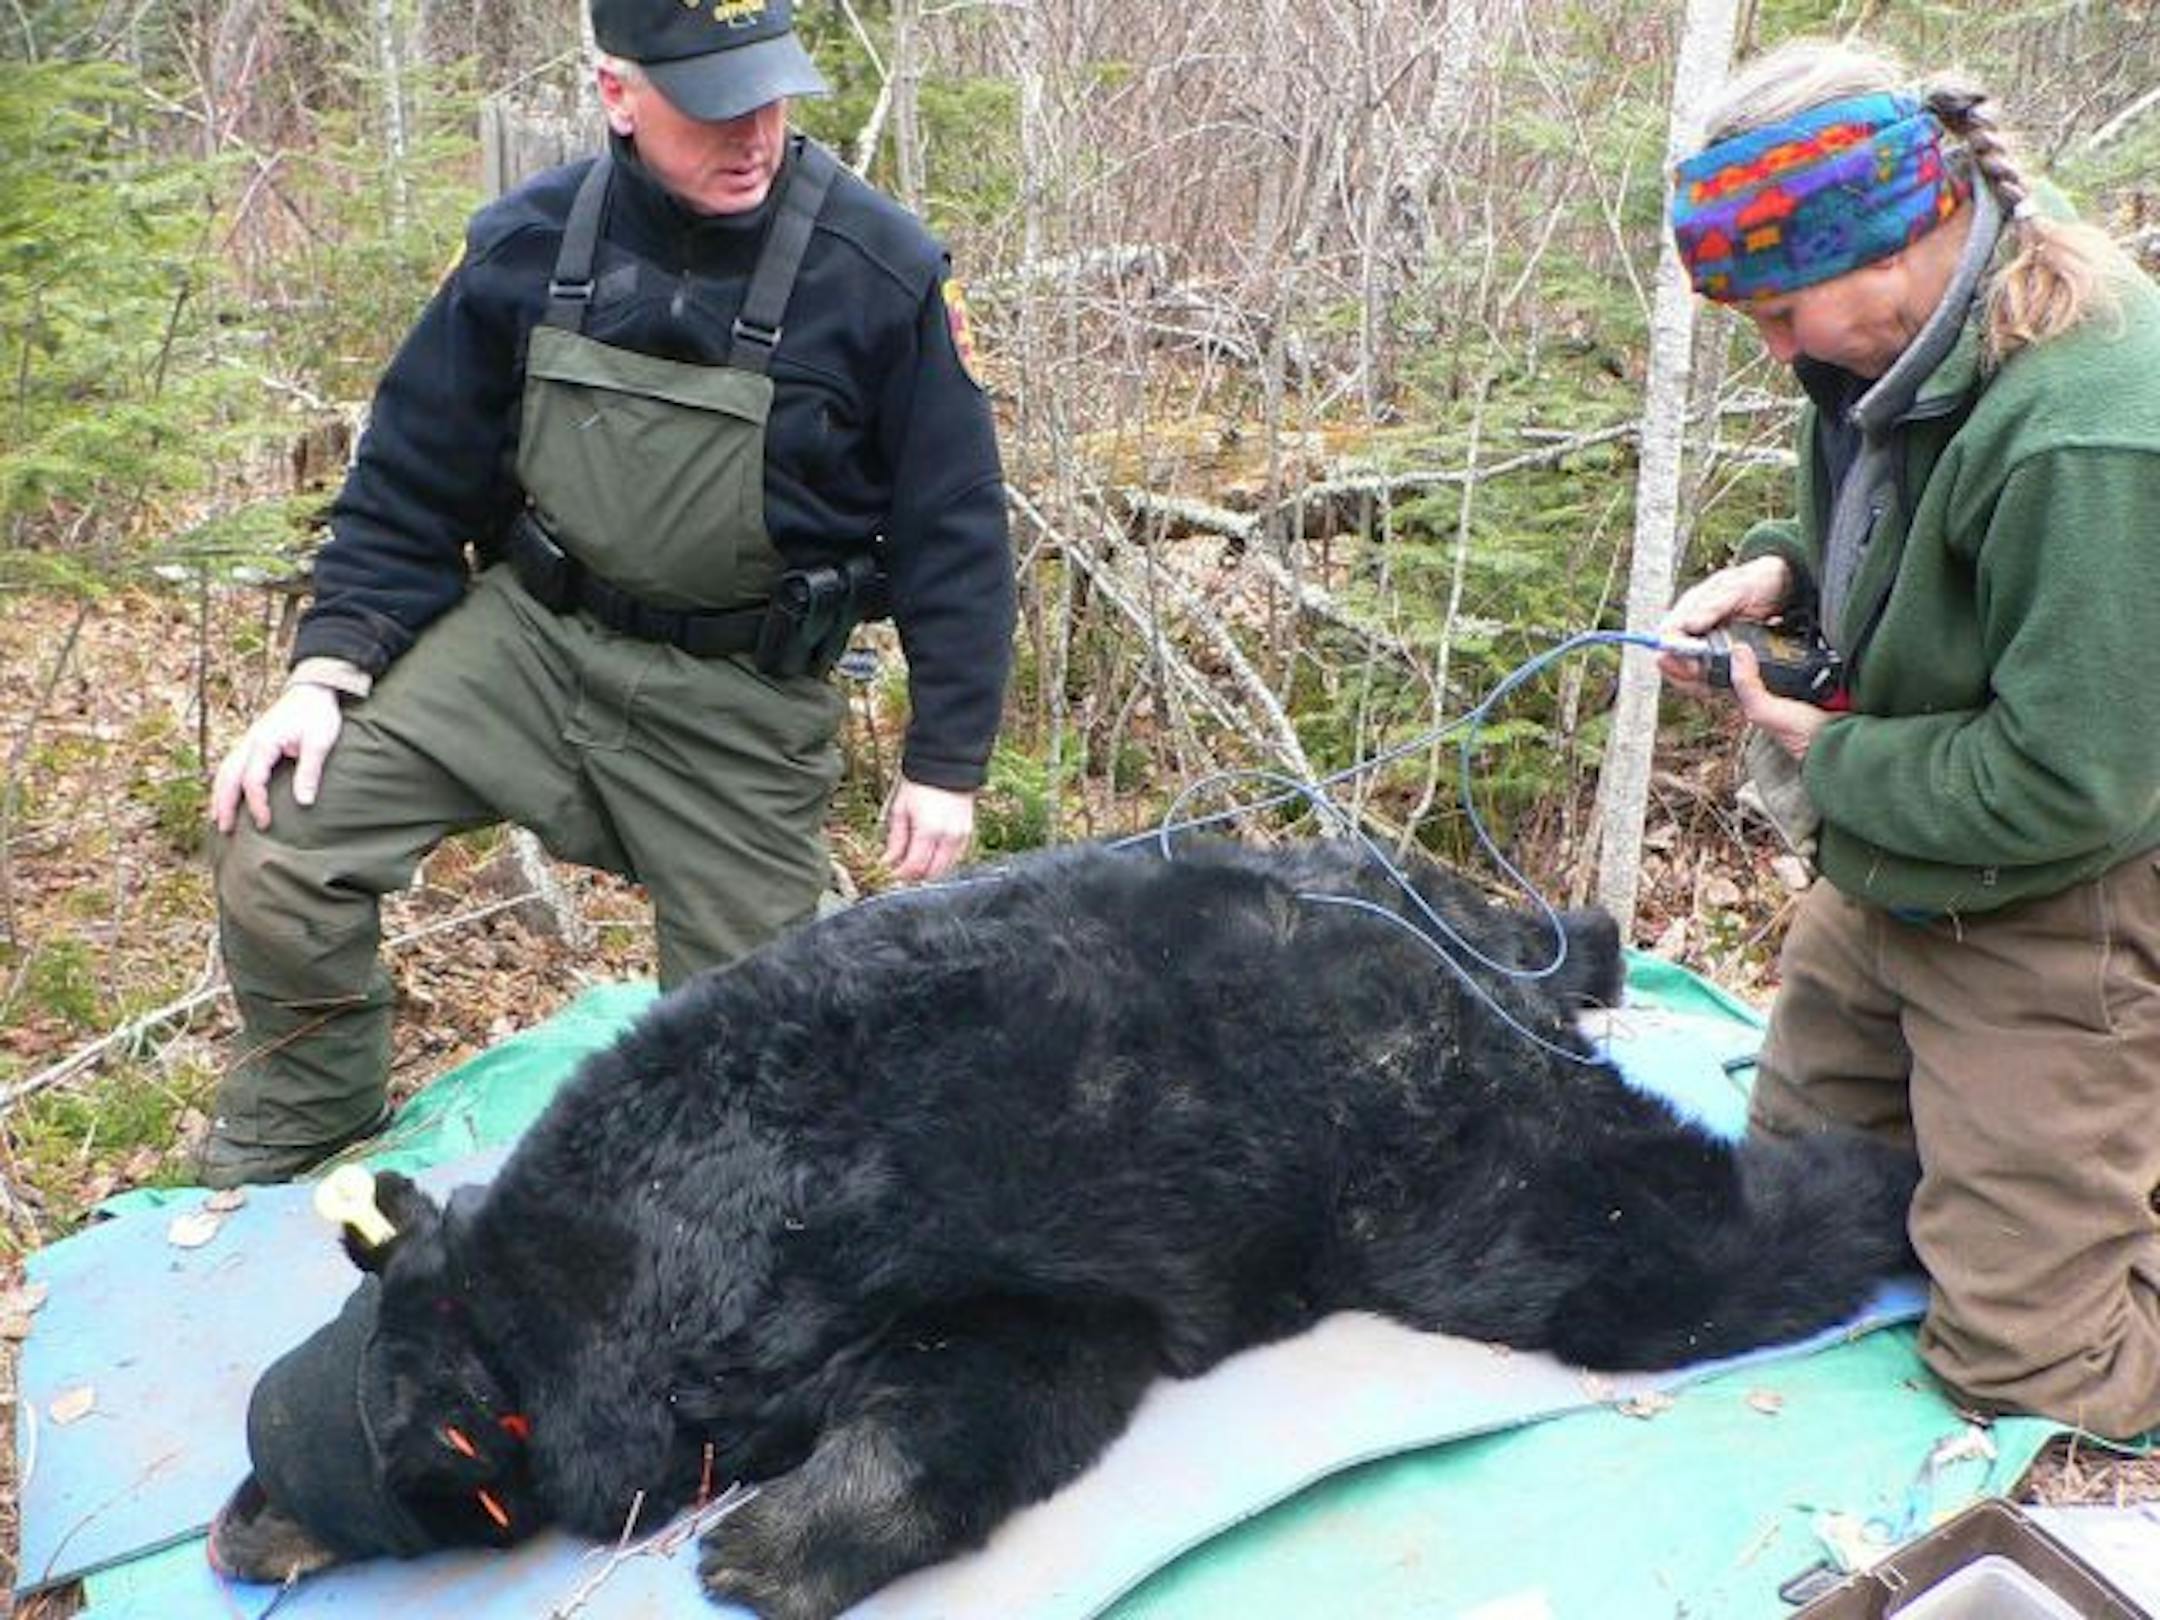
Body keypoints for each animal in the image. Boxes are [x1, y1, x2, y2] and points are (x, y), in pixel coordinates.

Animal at [209, 837, 1918, 1619]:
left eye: (288, 1455)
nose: (227, 1531)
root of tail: (1455, 932)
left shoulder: (919, 1235)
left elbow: (968, 1385)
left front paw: (767, 1546)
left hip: (1417, 1137)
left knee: (1650, 1249)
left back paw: (1882, 1183)